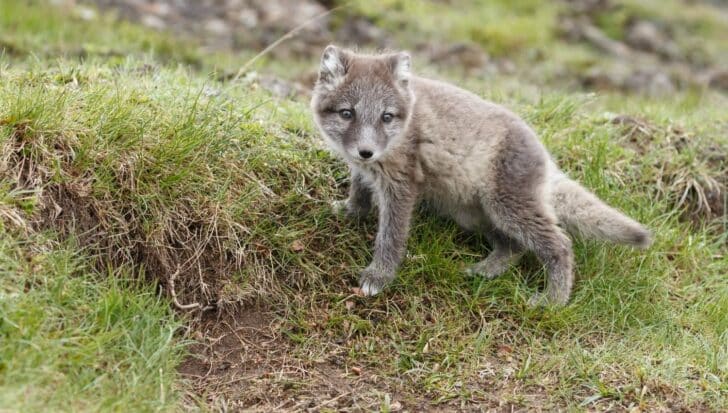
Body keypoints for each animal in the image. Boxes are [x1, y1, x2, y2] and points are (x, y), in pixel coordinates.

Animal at [310, 45, 652, 306]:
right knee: (514, 247)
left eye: (386, 117)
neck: (402, 132)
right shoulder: (364, 171)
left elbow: (391, 236)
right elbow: (359, 190)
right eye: (347, 113)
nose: (366, 151)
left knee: (560, 244)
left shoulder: (402, 185)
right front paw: (349, 211)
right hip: (477, 214)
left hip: (508, 207)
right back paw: (485, 271)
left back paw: (552, 301)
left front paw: (379, 276)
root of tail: (545, 156)